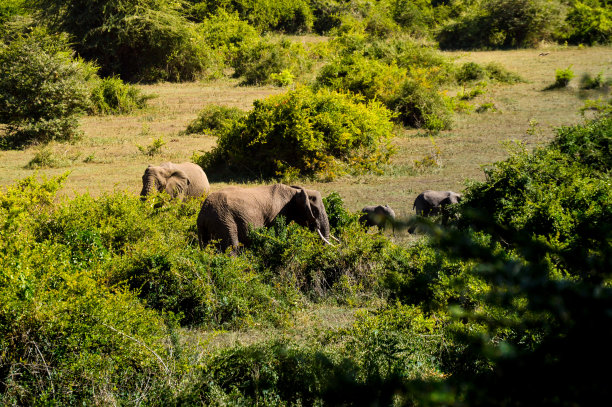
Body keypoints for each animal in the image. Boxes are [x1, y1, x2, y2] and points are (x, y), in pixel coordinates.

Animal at [198, 184, 332, 252]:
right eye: (315, 211)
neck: (295, 191)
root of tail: (204, 213)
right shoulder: (277, 213)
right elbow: (277, 232)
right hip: (224, 221)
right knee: (232, 247)